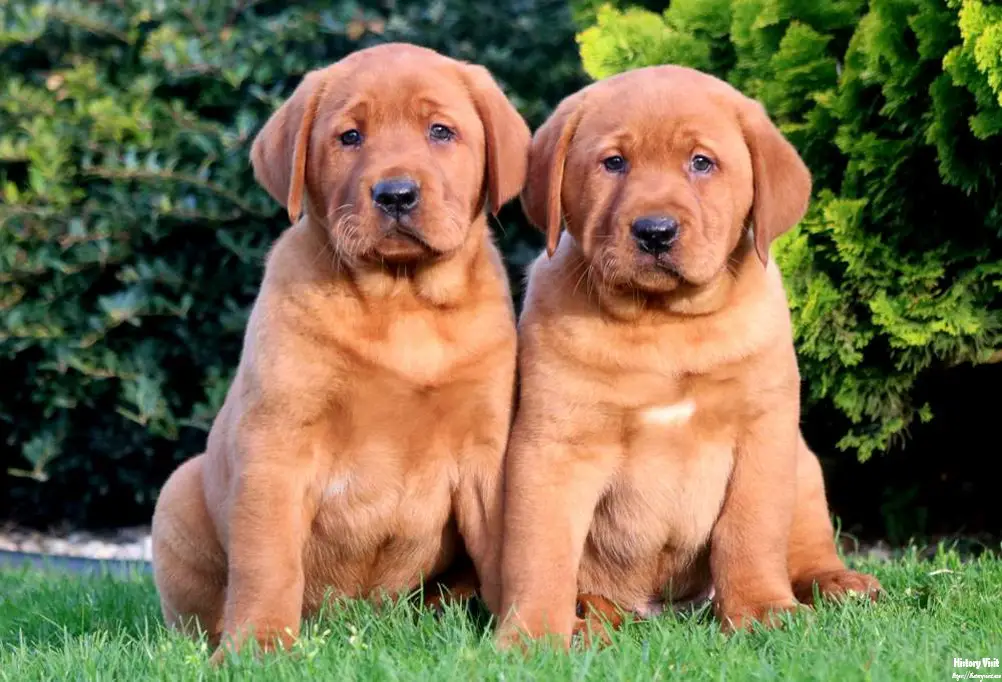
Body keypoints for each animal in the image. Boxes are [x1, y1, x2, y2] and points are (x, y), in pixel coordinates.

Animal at [149, 43, 533, 660]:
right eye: (350, 137)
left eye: (441, 131)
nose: (396, 194)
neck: (402, 303)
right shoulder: (277, 445)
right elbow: (267, 562)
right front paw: (258, 648)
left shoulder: (485, 452)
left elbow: (504, 552)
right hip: (179, 493)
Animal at [496, 62, 881, 644]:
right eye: (614, 162)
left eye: (701, 162)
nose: (655, 232)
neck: (665, 325)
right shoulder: (553, 445)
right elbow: (540, 551)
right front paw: (536, 634)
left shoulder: (761, 433)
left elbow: (750, 533)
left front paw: (762, 611)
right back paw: (592, 618)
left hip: (804, 465)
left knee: (807, 547)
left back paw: (839, 581)